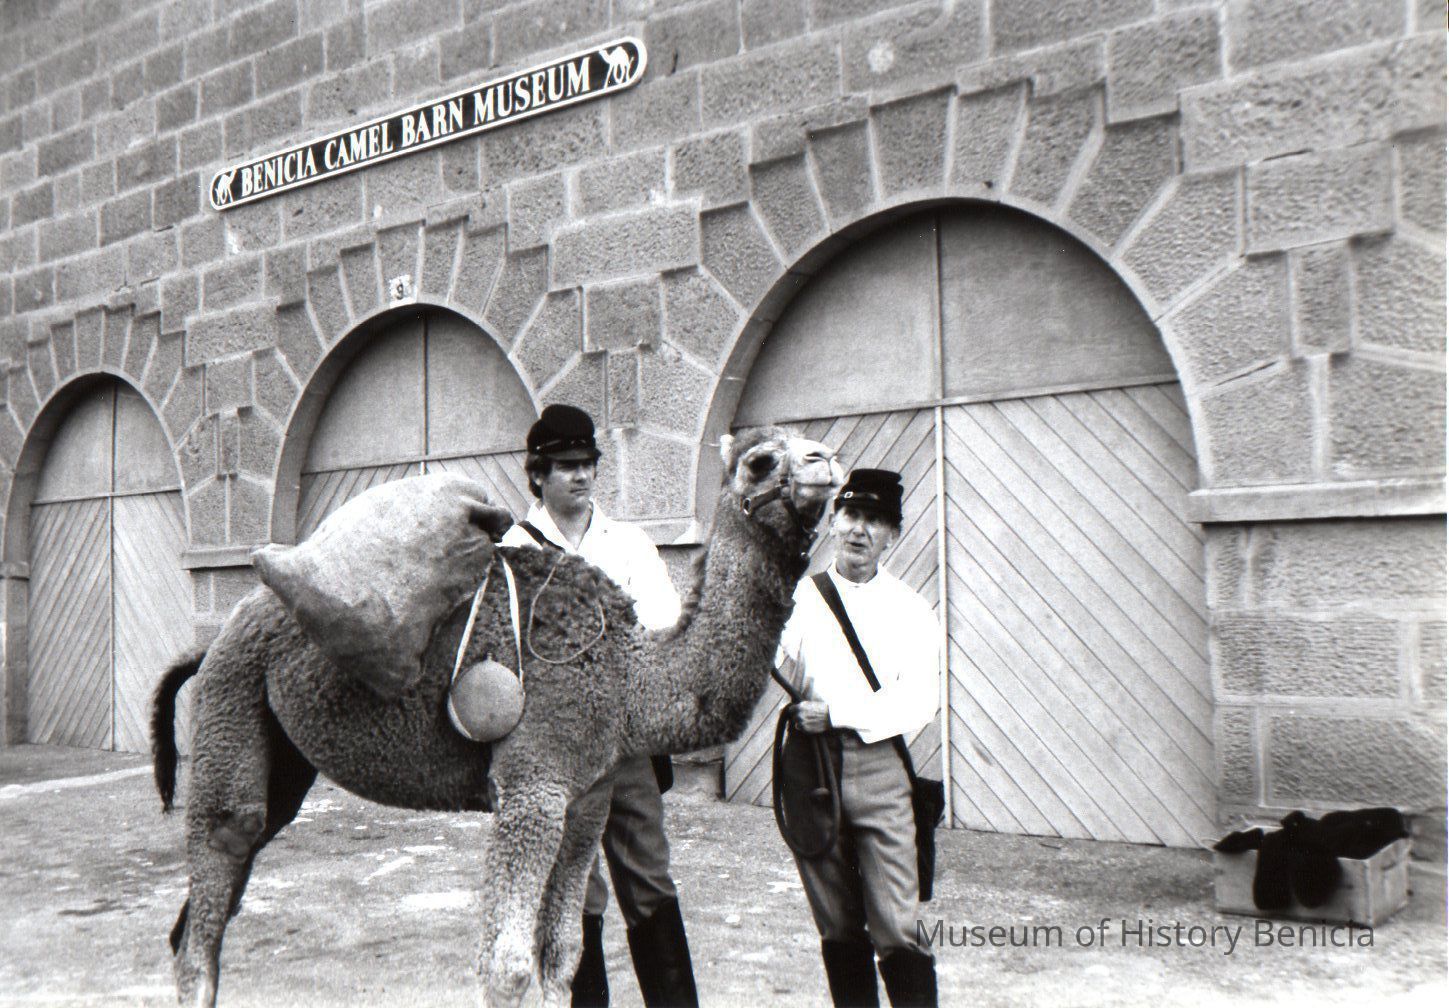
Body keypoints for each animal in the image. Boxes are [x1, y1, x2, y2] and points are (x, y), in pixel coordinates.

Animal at [150, 427, 842, 1007]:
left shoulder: (589, 794)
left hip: (282, 755)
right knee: (223, 851)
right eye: (761, 461)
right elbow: (506, 966)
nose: (828, 461)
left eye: (807, 442)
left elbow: (563, 953)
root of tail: (214, 641)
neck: (630, 677)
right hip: (231, 696)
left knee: (208, 905)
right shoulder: (531, 785)